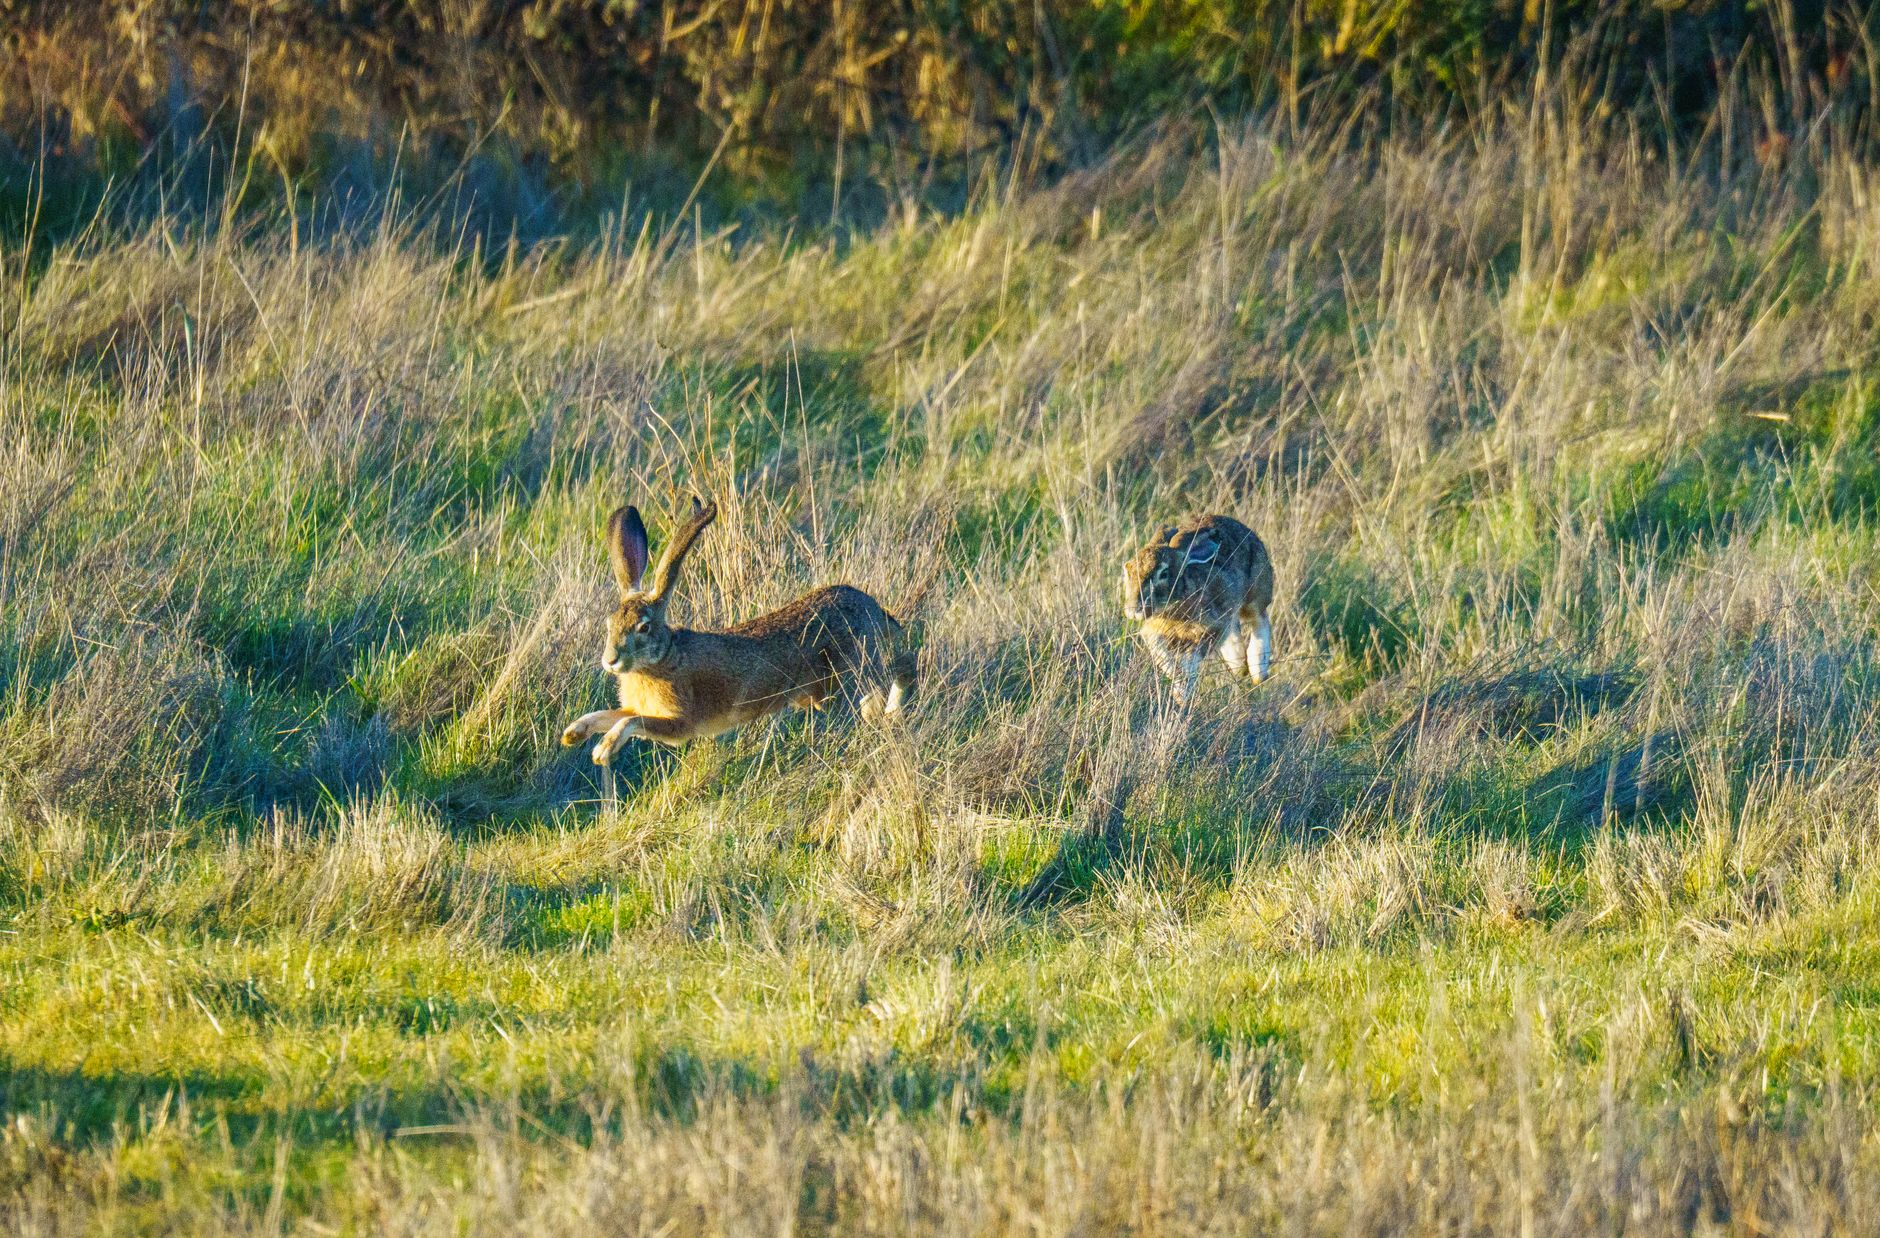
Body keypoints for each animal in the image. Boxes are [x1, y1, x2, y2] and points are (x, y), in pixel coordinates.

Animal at [561, 496, 918, 765]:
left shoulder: (679, 723)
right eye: (609, 624)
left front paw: (602, 750)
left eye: (644, 627)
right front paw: (574, 733)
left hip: (854, 669)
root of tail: (872, 607)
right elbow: (610, 714)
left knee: (902, 665)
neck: (664, 658)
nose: (611, 661)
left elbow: (630, 721)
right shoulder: (639, 707)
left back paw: (892, 708)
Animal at [1121, 513, 1275, 702]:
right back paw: (1239, 665)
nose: (1133, 609)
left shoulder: (1210, 628)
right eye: (1127, 569)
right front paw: (1180, 690)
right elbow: (1164, 657)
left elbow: (1192, 660)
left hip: (1255, 593)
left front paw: (1183, 692)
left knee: (1259, 619)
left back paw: (1258, 669)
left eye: (1164, 573)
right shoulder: (1153, 633)